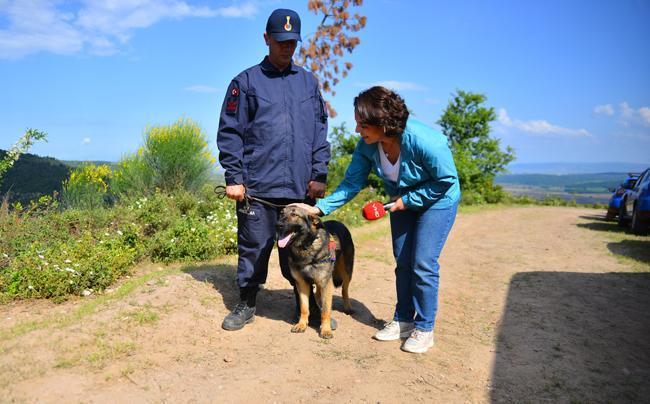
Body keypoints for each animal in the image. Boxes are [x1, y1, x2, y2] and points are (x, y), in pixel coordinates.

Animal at [274, 207, 354, 340]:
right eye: (281, 214)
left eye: (294, 215)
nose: (277, 225)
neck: (305, 247)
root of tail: (338, 222)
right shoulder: (301, 284)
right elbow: (304, 308)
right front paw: (301, 324)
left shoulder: (326, 283)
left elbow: (326, 311)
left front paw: (326, 330)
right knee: (318, 293)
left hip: (347, 271)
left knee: (344, 289)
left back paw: (347, 307)